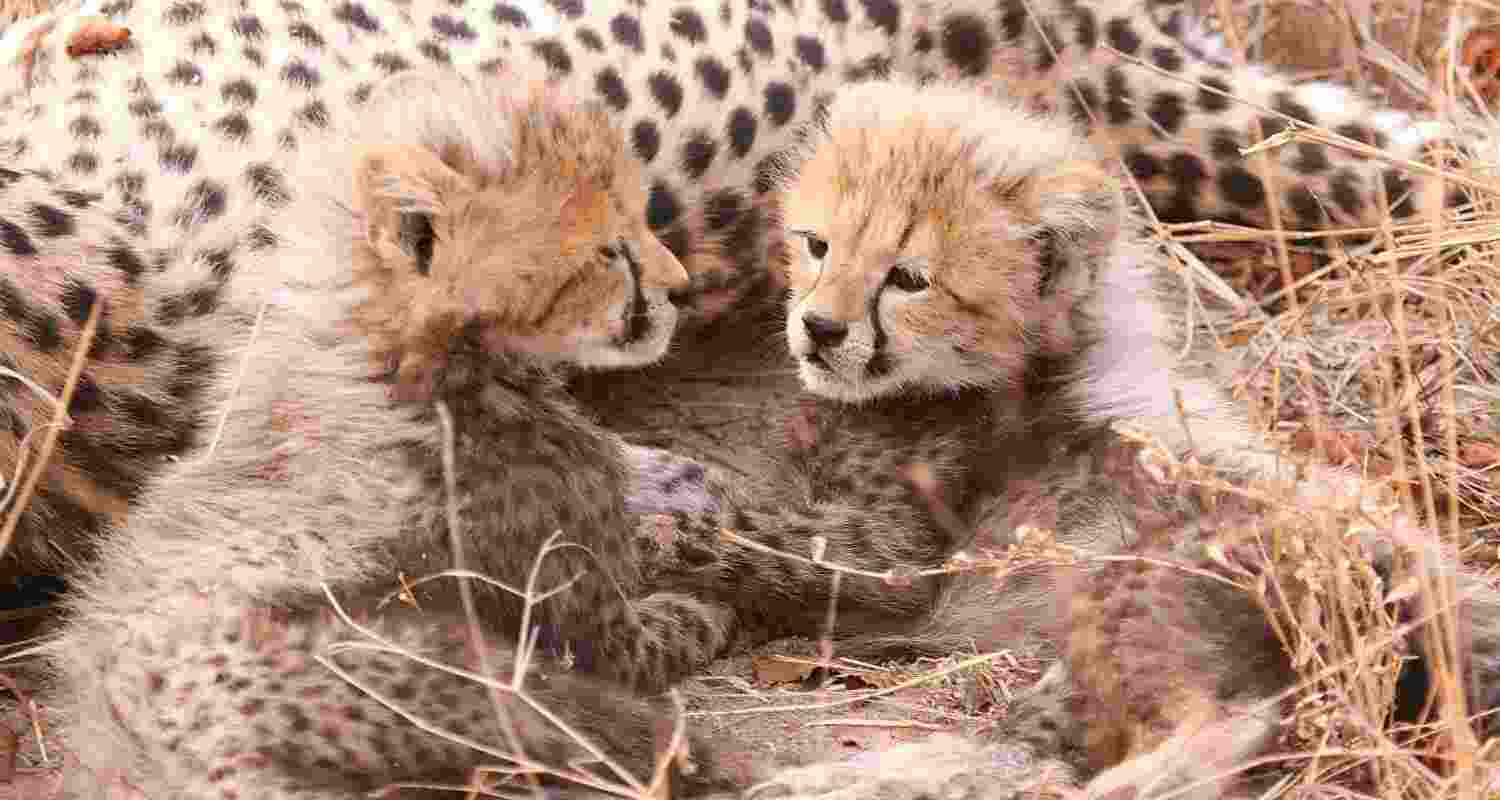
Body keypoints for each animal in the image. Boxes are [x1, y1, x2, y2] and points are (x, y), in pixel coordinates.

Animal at [48, 70, 744, 800]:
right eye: (610, 248)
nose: (682, 286)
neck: (398, 356)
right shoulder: (584, 619)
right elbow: (655, 633)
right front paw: (703, 606)